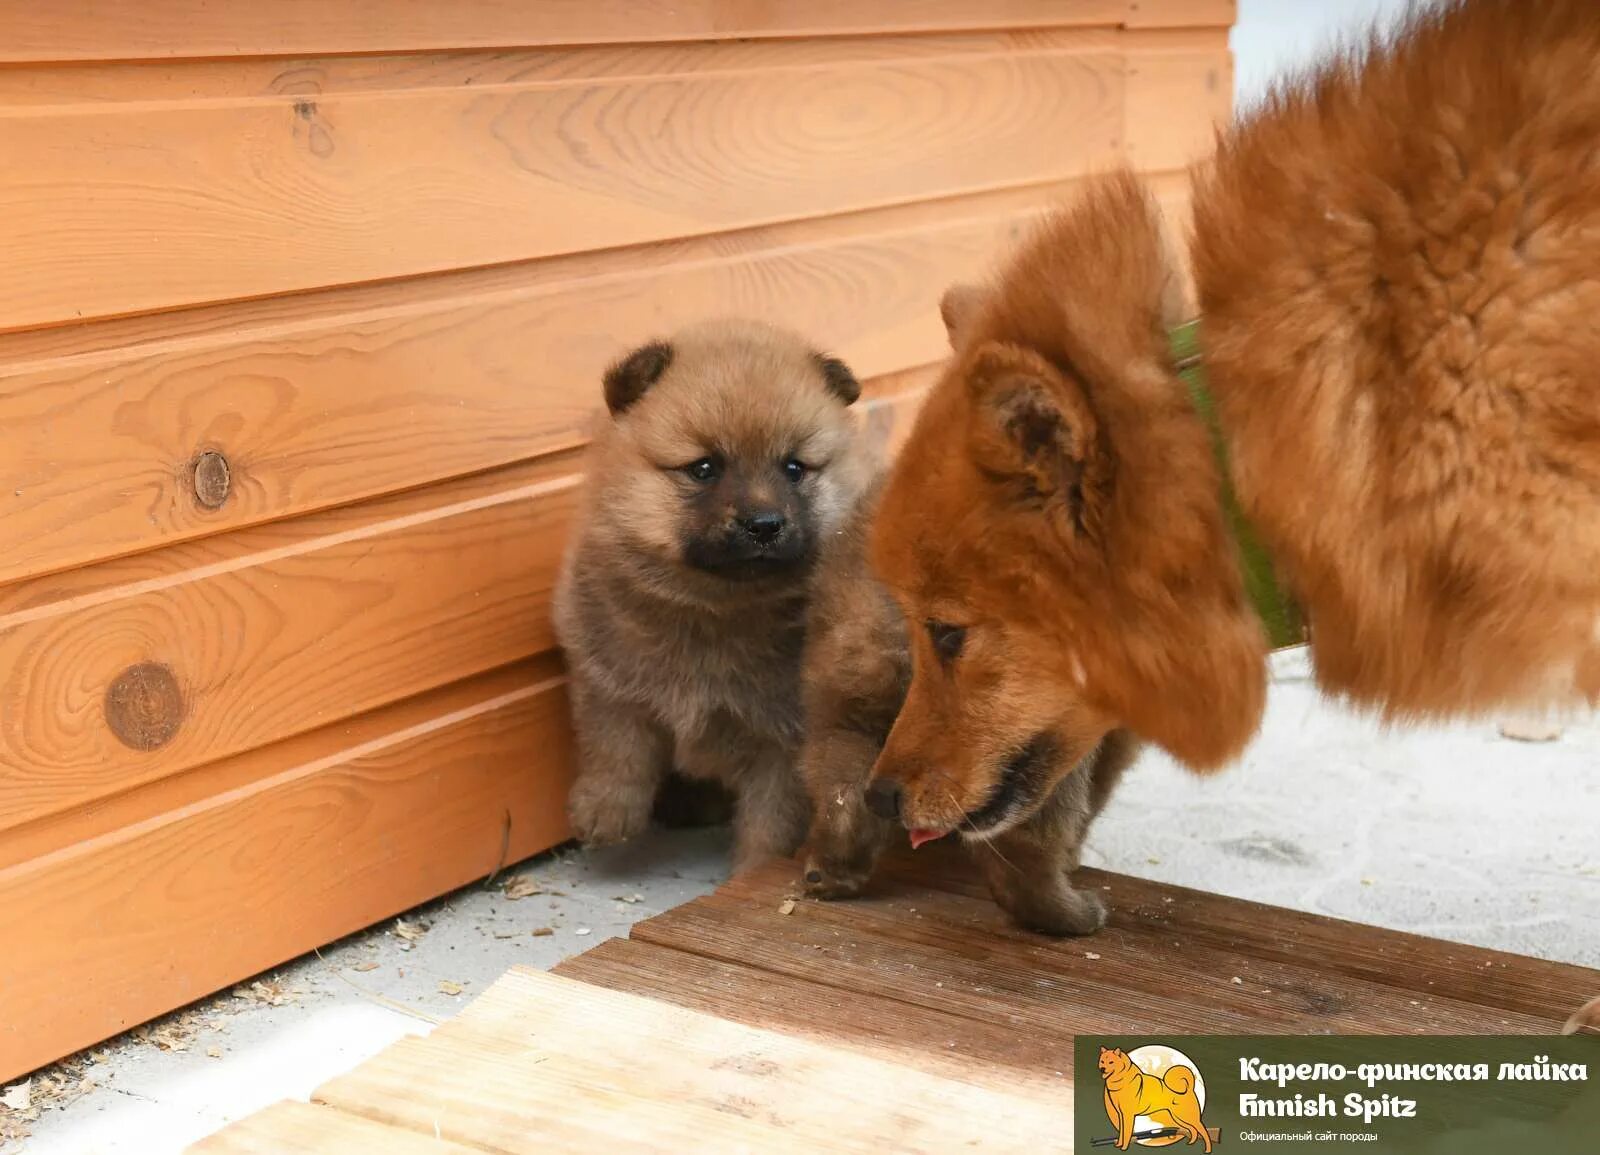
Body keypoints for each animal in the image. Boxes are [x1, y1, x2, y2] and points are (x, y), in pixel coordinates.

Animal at [550, 319, 876, 870]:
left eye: (794, 468)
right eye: (704, 469)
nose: (764, 524)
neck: (713, 608)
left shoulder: (783, 741)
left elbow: (771, 822)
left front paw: (751, 876)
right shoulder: (608, 679)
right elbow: (614, 747)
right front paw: (605, 811)